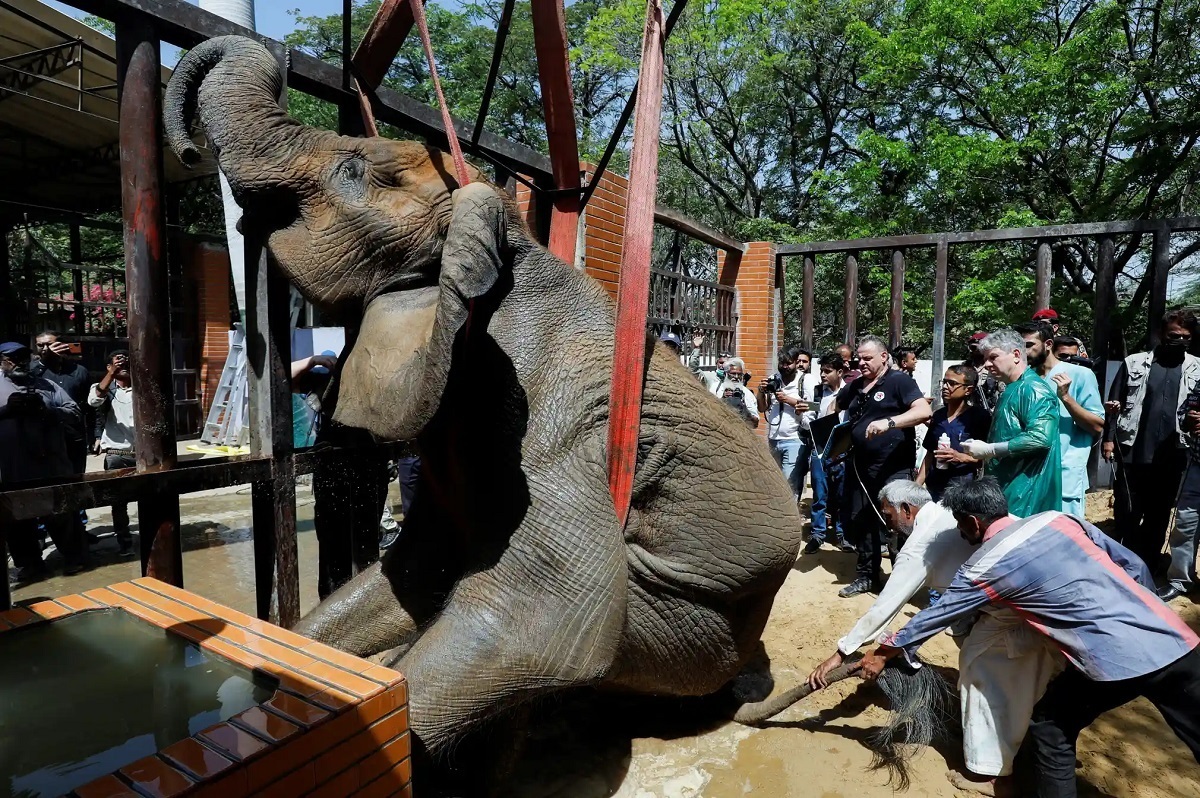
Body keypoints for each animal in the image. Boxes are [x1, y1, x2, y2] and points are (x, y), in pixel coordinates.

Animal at [164, 35, 806, 792]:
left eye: (353, 170)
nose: (187, 151)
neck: (502, 239)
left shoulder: (550, 427)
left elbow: (539, 620)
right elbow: (415, 571)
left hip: (684, 639)